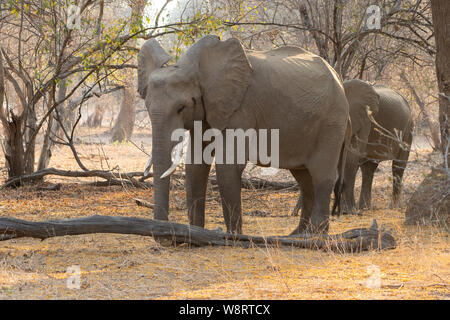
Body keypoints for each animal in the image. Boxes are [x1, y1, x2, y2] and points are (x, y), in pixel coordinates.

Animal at [139, 35, 350, 235]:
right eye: (146, 106)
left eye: (181, 108)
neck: (199, 71)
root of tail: (339, 79)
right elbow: (196, 165)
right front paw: (195, 234)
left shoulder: (241, 107)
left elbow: (227, 166)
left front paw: (232, 237)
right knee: (305, 178)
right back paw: (297, 235)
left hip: (332, 121)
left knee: (322, 175)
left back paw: (315, 234)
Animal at [292, 79, 412, 216]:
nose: (294, 213)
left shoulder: (365, 119)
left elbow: (352, 156)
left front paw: (347, 211)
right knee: (369, 168)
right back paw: (364, 208)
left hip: (408, 129)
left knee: (398, 166)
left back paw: (393, 207)